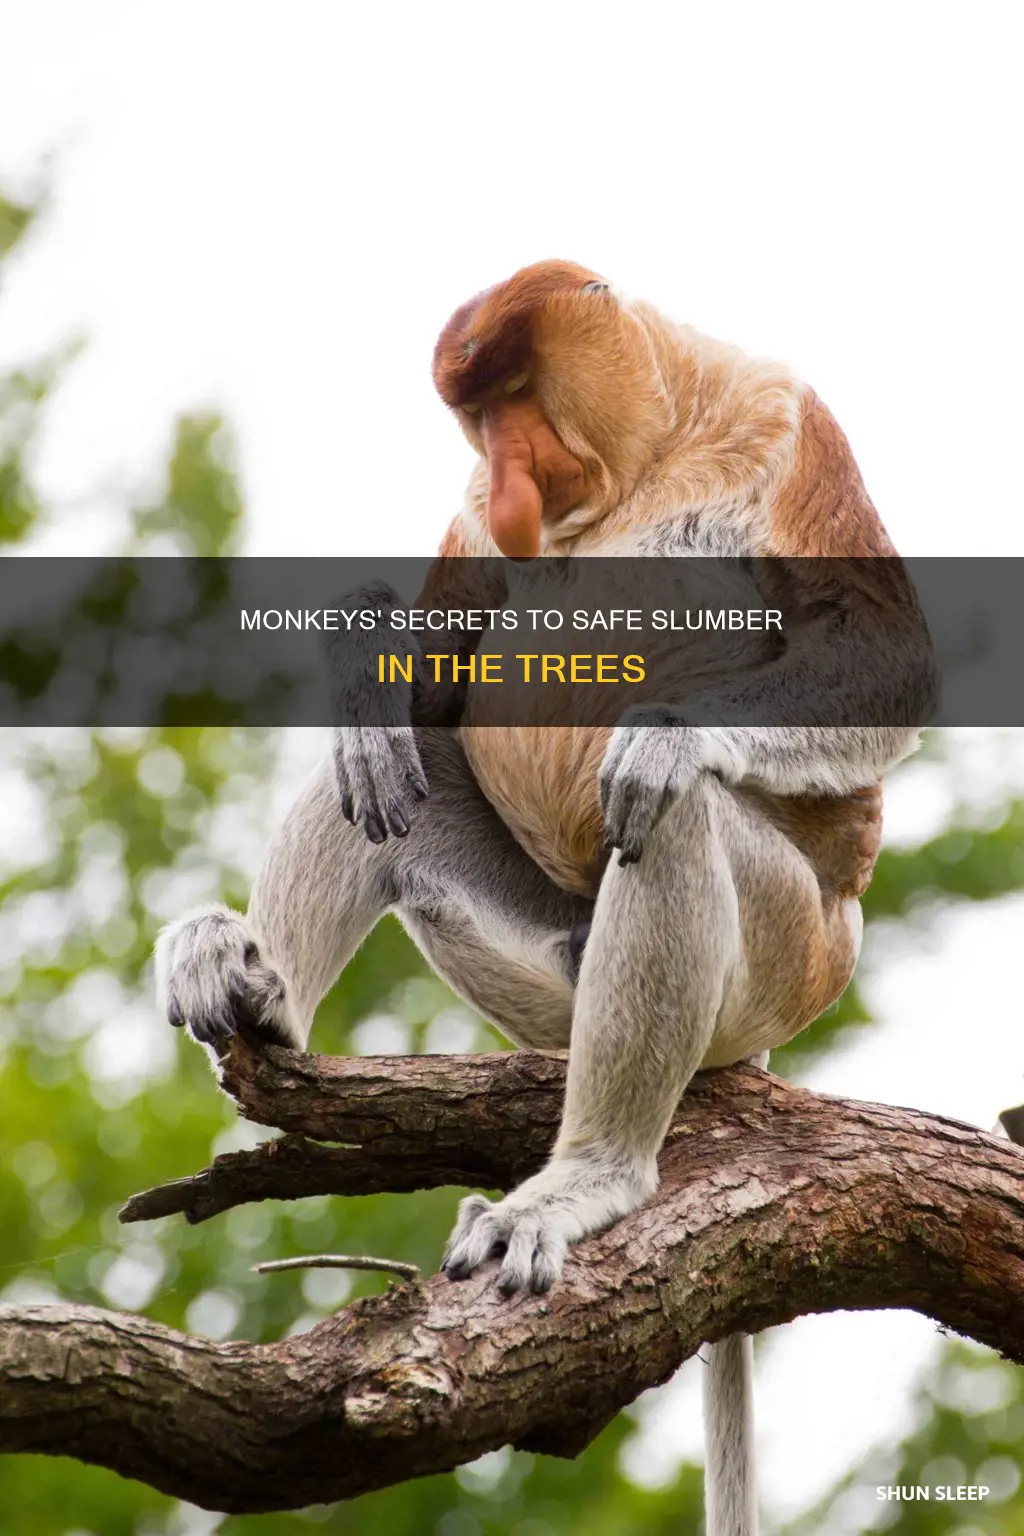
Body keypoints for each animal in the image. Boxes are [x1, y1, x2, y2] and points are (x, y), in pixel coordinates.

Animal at [155, 261, 934, 1536]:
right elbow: (426, 681)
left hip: (783, 958)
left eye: (516, 395)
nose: (511, 475)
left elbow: (880, 660)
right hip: (545, 965)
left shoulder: (784, 418)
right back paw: (253, 988)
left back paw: (583, 1182)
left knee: (671, 821)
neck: (650, 447)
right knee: (391, 774)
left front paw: (668, 736)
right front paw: (362, 658)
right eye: (476, 423)